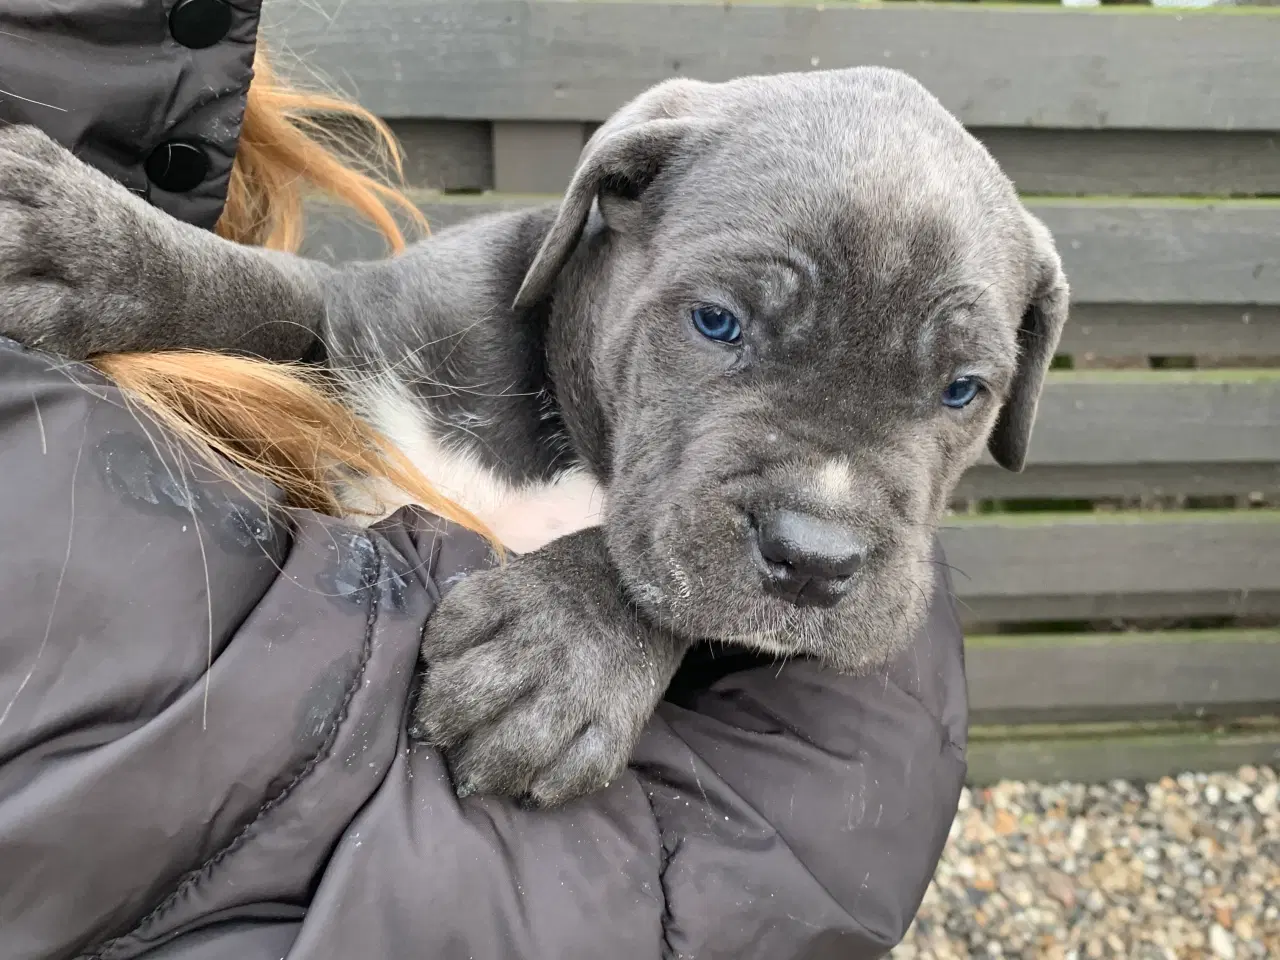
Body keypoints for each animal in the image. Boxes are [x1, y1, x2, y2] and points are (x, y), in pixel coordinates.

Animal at [0, 65, 1064, 803]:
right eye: (716, 322)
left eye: (962, 391)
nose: (815, 558)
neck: (569, 444)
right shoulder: (352, 329)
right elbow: (254, 291)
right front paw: (86, 247)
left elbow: (659, 580)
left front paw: (562, 649)